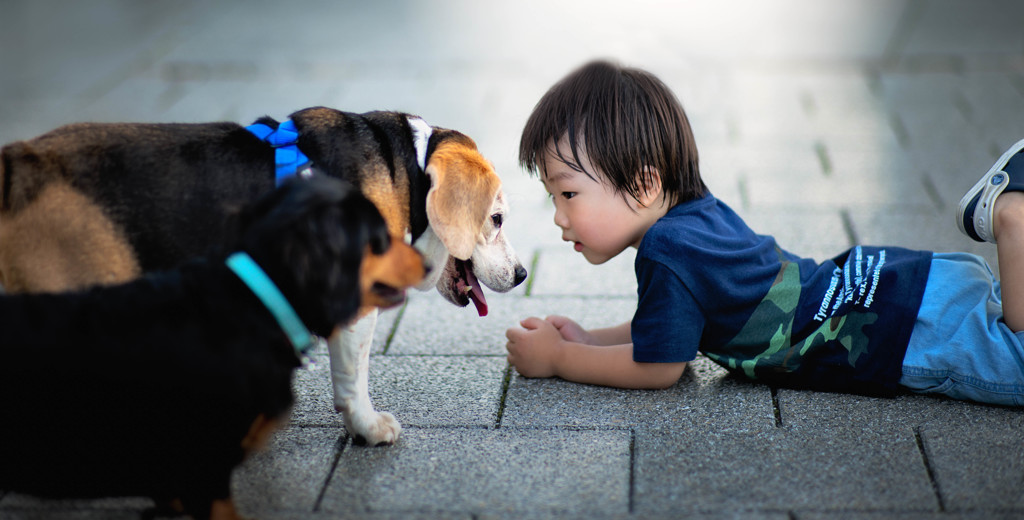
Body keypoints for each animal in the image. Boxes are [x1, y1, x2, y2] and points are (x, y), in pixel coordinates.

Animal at [0, 107, 528, 444]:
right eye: (497, 219)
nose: (524, 274)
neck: (407, 168)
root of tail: (20, 164)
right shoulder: (355, 305)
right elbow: (353, 376)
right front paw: (366, 428)